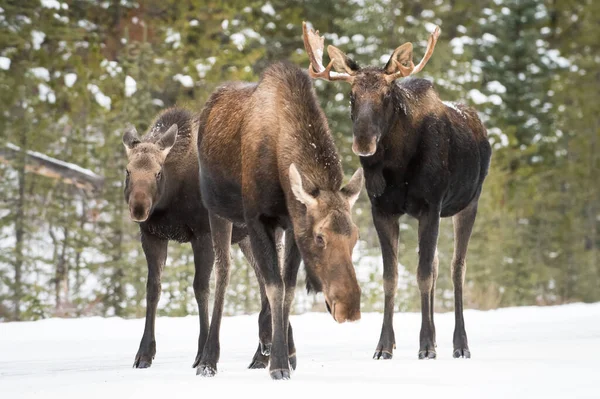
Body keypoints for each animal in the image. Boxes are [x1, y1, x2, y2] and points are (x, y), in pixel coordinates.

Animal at [199, 61, 364, 380]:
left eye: (355, 237)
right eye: (320, 236)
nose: (349, 308)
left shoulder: (290, 224)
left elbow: (286, 287)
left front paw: (284, 354)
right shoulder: (257, 219)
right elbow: (275, 287)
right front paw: (278, 363)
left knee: (259, 274)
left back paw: (265, 347)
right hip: (219, 213)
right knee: (224, 272)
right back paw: (208, 359)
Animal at [304, 21, 492, 360]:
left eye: (386, 95)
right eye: (352, 95)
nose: (363, 142)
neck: (396, 167)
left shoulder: (431, 206)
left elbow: (423, 275)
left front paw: (426, 345)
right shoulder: (383, 210)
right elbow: (390, 278)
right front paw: (384, 346)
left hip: (468, 203)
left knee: (457, 268)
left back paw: (460, 344)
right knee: (438, 264)